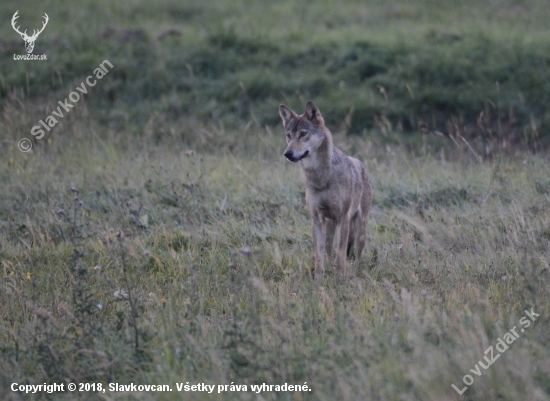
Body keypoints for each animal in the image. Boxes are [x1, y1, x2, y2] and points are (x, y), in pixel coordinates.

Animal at [282, 100, 374, 278]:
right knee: (328, 249)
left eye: (303, 134)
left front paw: (340, 276)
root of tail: (359, 163)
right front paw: (319, 277)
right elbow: (319, 253)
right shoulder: (316, 218)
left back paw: (356, 270)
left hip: (359, 228)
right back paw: (330, 268)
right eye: (289, 135)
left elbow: (341, 251)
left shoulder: (344, 217)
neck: (322, 177)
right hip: (329, 225)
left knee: (357, 253)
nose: (288, 153)